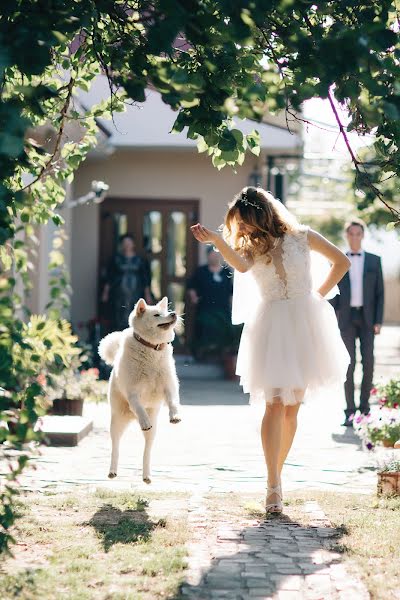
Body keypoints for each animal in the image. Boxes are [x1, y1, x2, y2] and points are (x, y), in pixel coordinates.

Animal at [98, 298, 181, 486]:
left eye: (167, 311)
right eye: (157, 315)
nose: (174, 314)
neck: (152, 348)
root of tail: (131, 417)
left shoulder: (169, 385)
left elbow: (173, 401)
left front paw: (174, 416)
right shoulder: (133, 392)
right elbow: (138, 405)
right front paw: (144, 420)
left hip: (152, 432)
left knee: (147, 452)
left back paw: (146, 475)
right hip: (117, 421)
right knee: (115, 446)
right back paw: (112, 470)